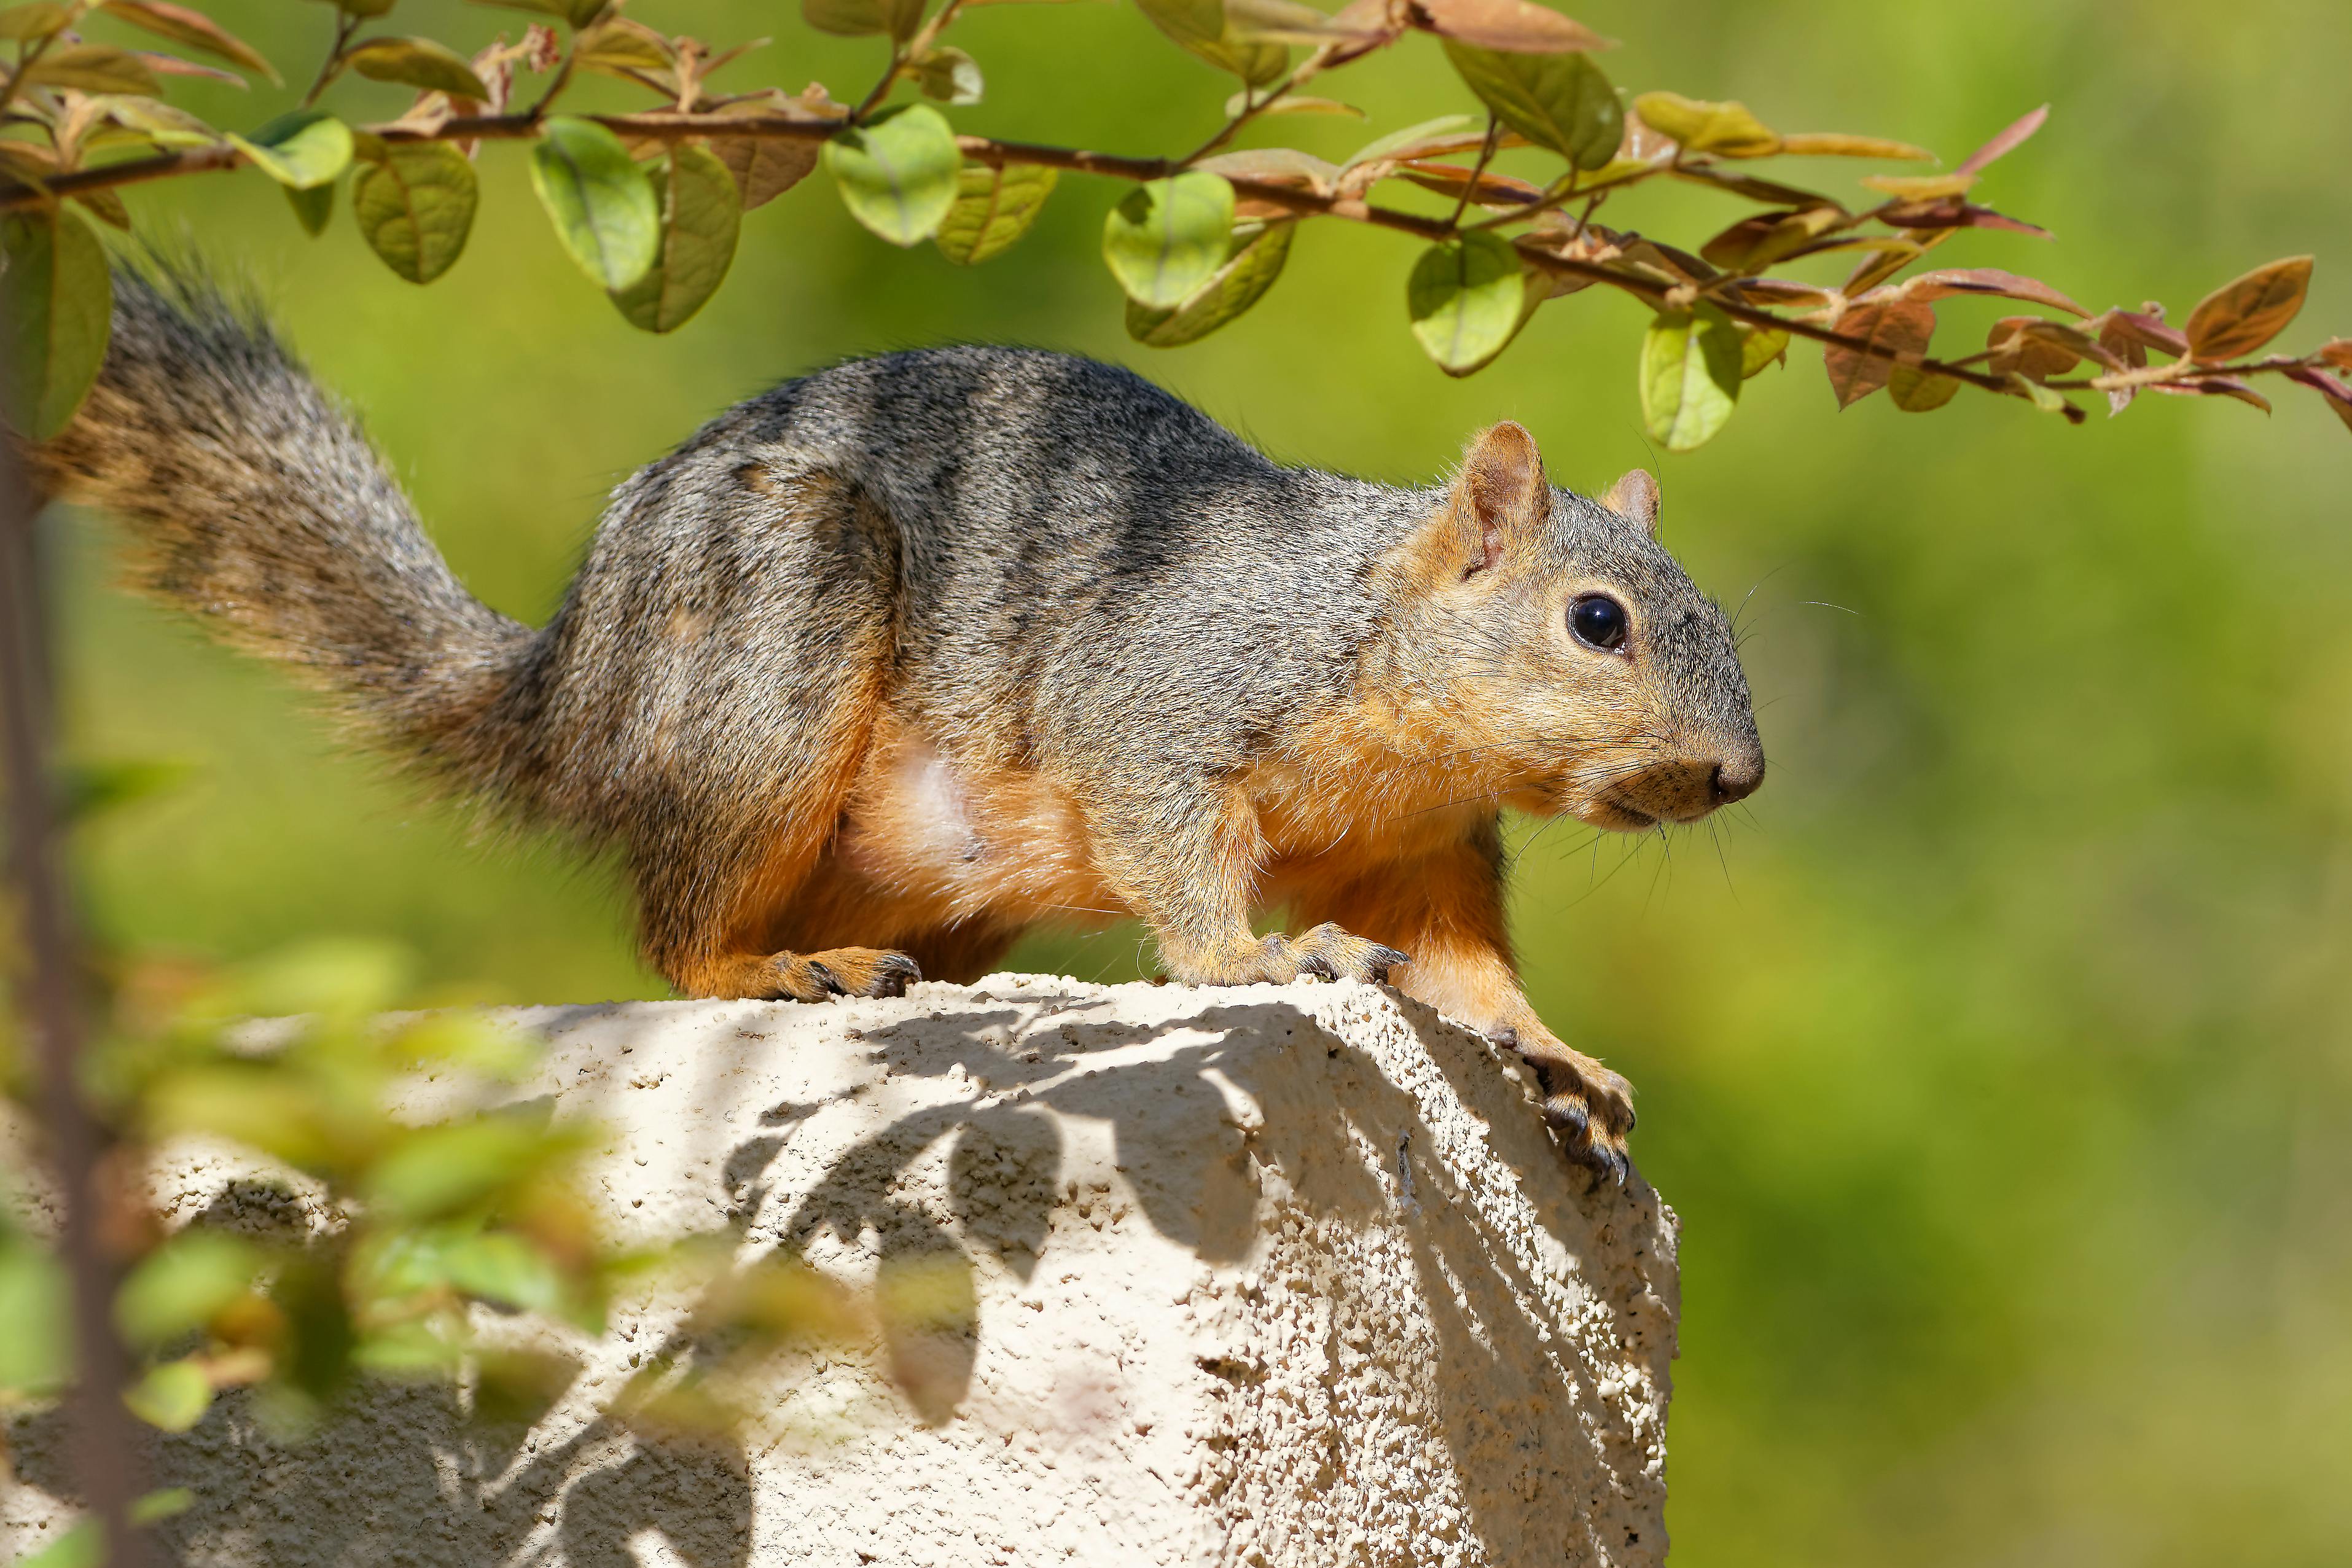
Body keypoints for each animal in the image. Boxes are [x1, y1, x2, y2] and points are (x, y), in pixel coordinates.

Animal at [32, 267, 1768, 1175]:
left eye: (1720, 616)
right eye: (1597, 621)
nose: (1737, 775)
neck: (1384, 658)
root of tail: (575, 686)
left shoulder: (1428, 846)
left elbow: (1468, 969)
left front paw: (1557, 1058)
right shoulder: (1164, 696)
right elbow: (1177, 849)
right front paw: (1259, 956)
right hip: (764, 653)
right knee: (673, 928)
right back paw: (765, 966)